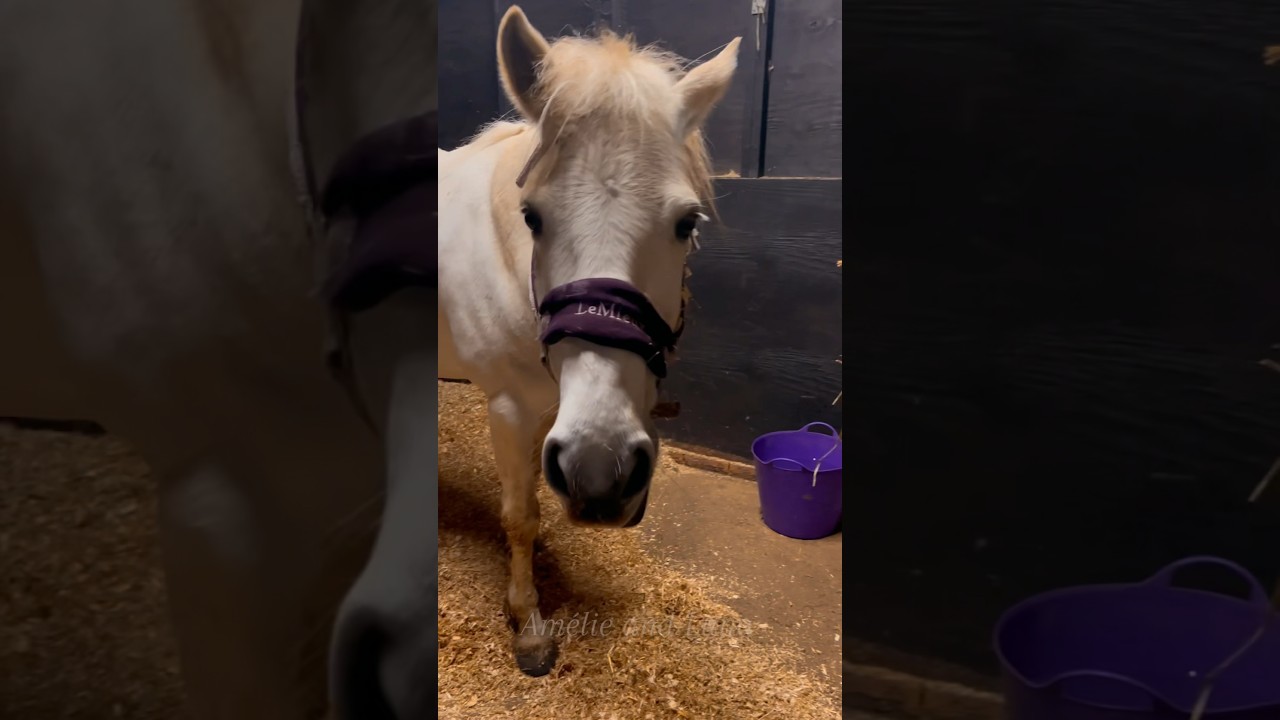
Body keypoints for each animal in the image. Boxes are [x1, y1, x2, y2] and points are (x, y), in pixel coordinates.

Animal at [438, 6, 741, 676]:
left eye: (687, 222)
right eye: (531, 216)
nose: (601, 473)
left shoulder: (549, 407)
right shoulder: (507, 405)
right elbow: (519, 516)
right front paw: (528, 625)